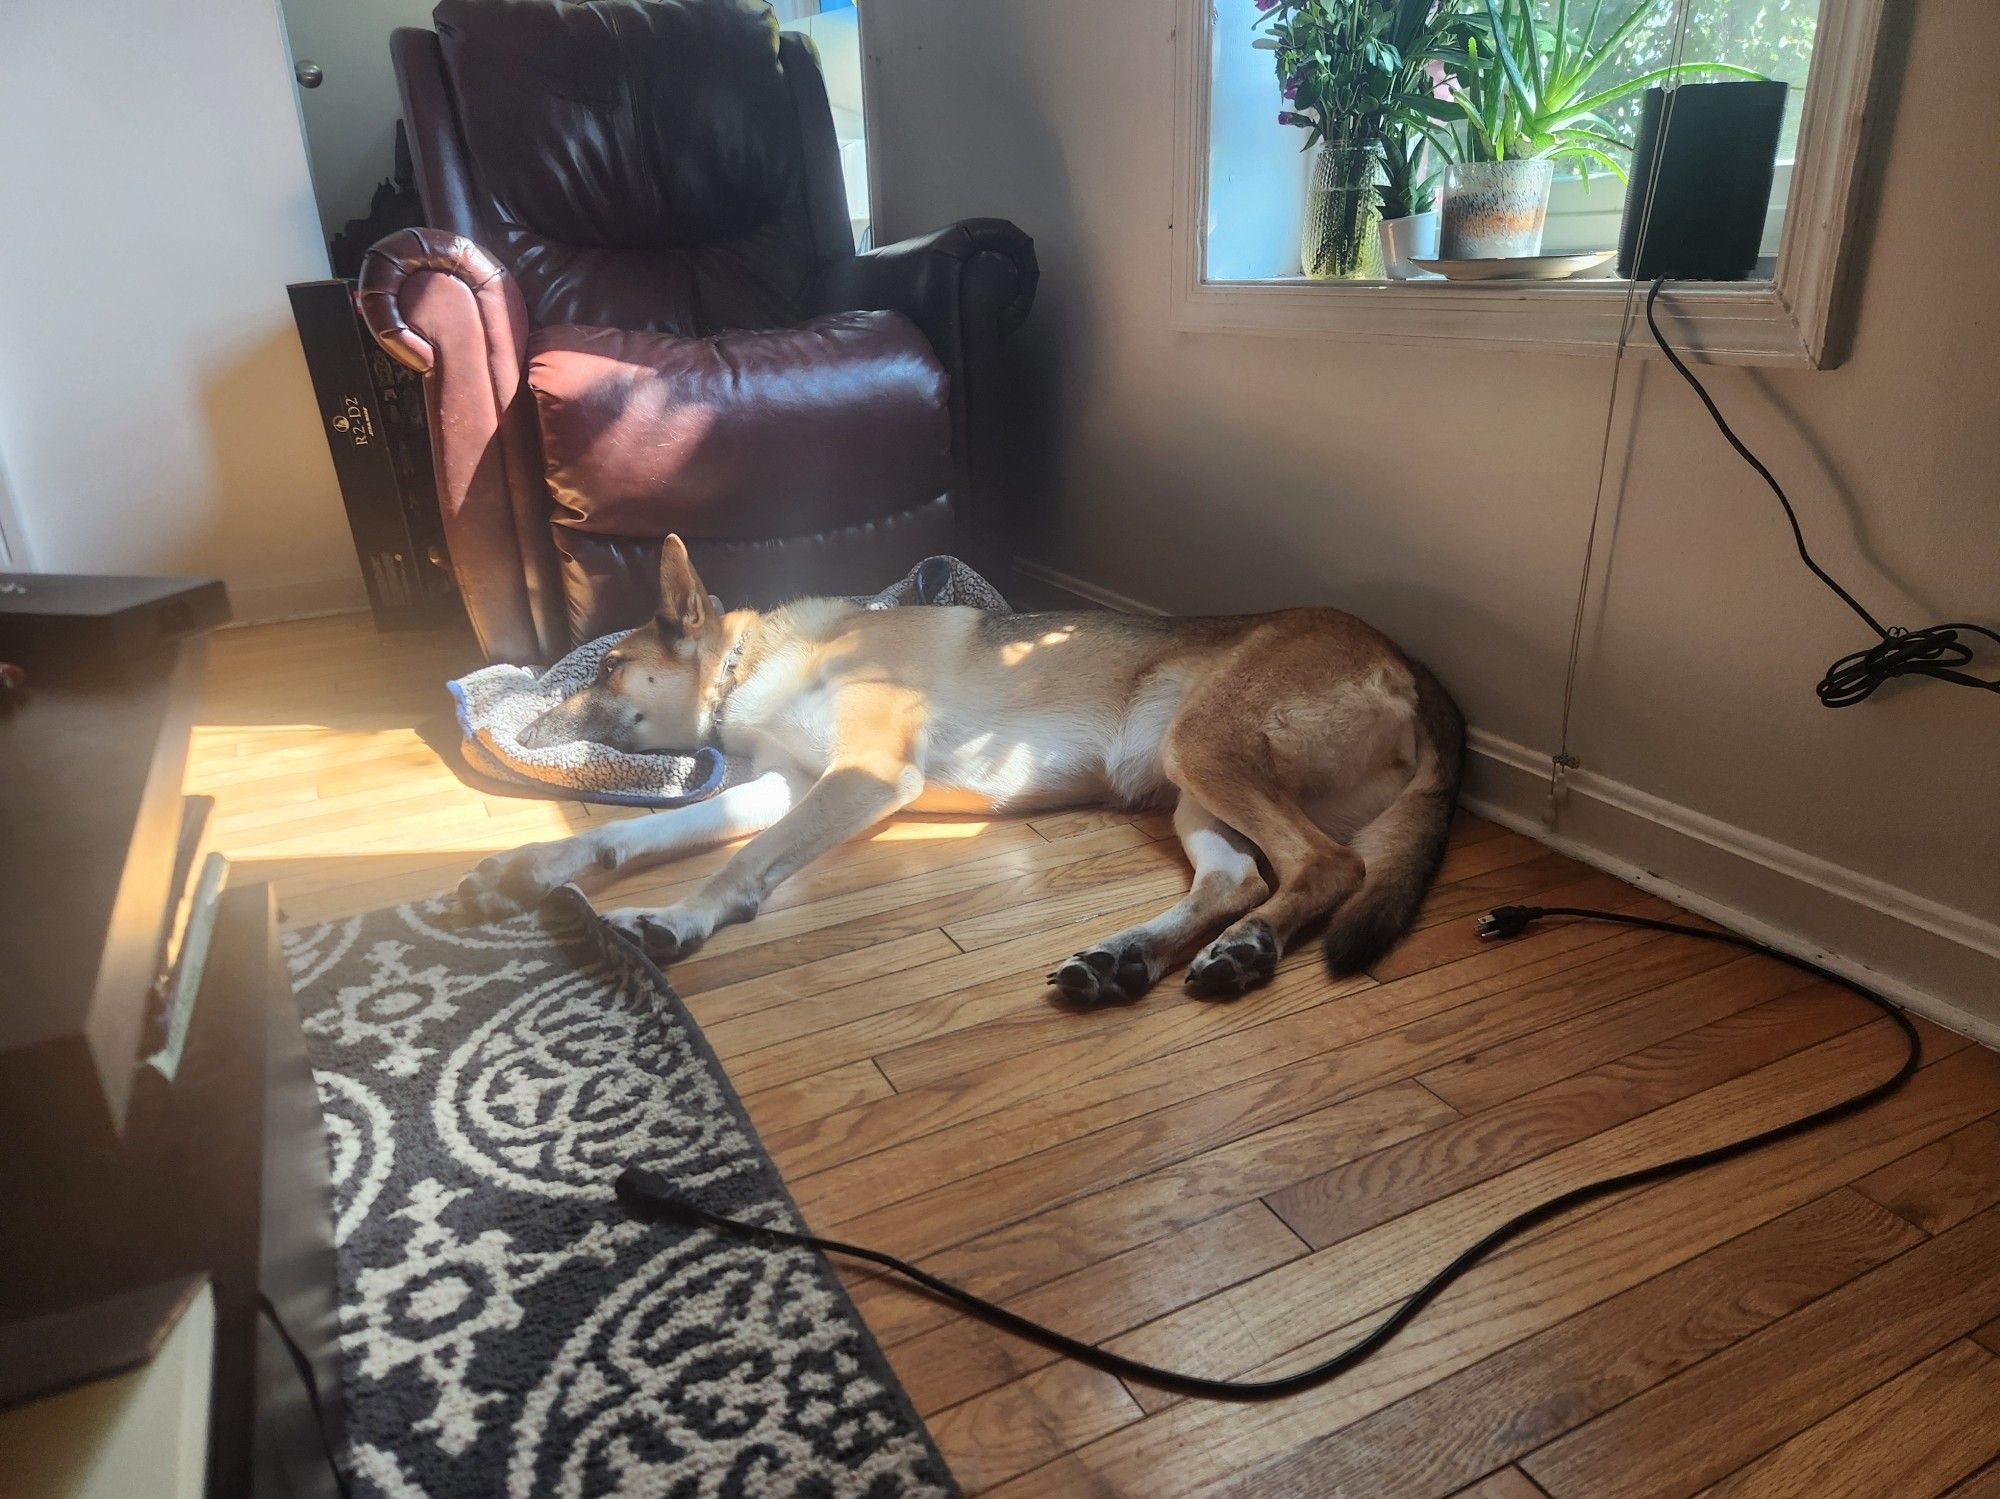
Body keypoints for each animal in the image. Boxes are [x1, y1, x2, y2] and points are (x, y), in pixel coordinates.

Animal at [454, 535, 1464, 1003]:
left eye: (610, 670)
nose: (530, 722)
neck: (753, 661)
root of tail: (1413, 664)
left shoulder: (863, 776)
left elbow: (739, 862)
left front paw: (677, 917)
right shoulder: (786, 784)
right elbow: (648, 831)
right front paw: (534, 866)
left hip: (1204, 749)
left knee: (1328, 864)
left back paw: (1248, 950)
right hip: (1190, 790)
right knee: (1239, 878)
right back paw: (1132, 956)